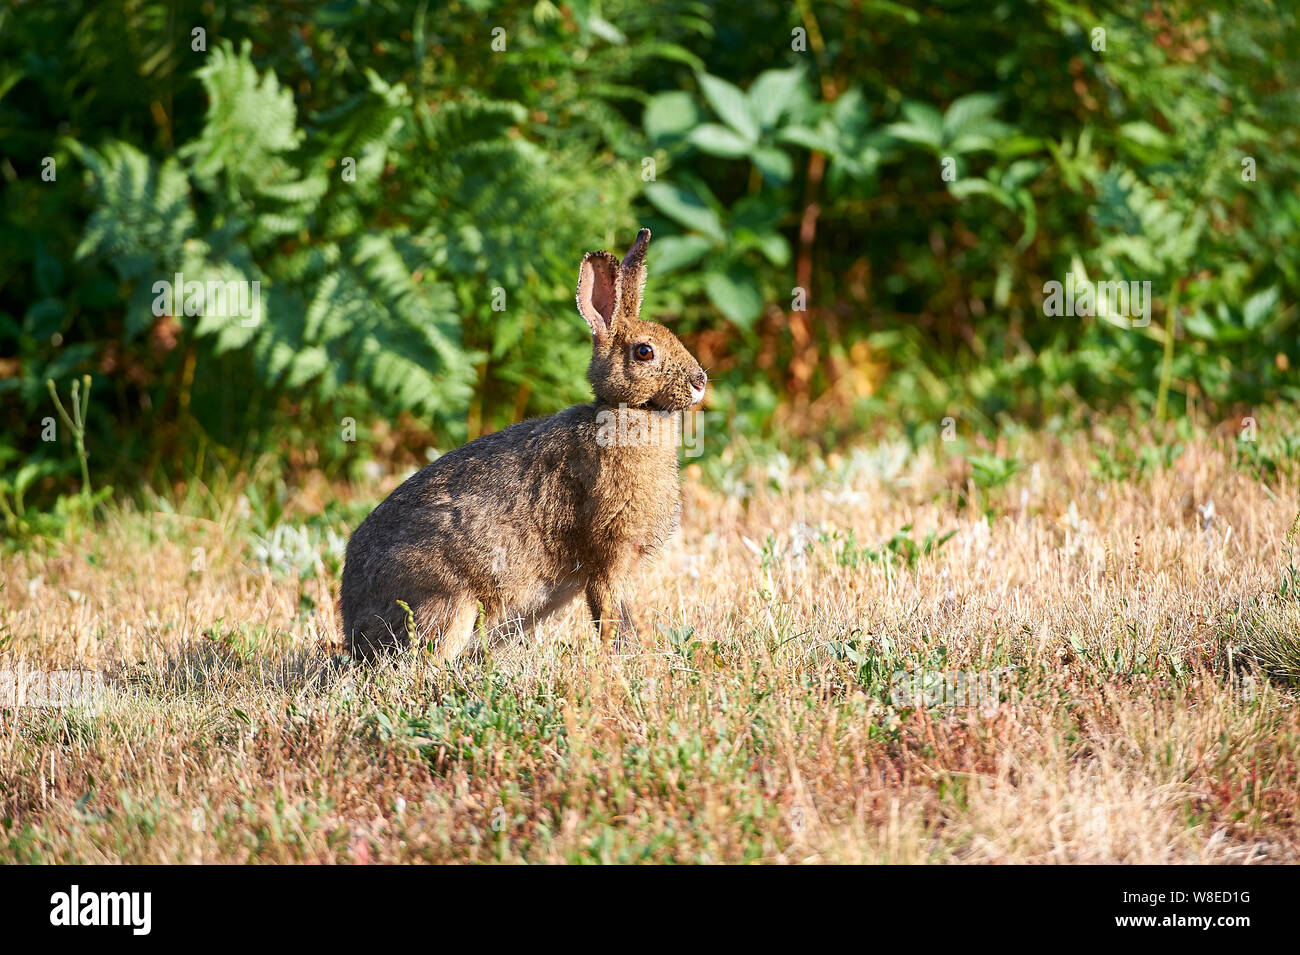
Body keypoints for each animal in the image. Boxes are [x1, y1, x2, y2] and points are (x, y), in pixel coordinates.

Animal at [340, 228, 707, 662]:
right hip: (451, 603)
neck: (626, 412)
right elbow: (607, 610)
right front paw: (615, 659)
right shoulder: (608, 549)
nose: (701, 381)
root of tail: (353, 628)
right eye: (645, 352)